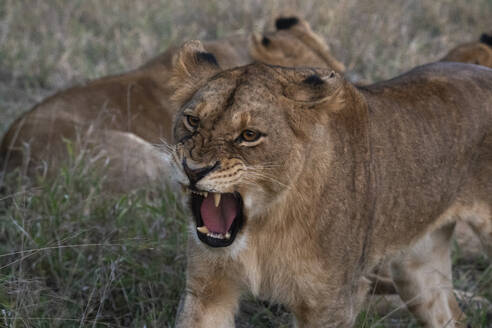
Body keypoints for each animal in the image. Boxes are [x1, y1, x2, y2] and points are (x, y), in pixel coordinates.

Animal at [167, 41, 490, 328]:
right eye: (192, 120)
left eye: (249, 135)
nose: (194, 170)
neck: (263, 227)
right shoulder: (207, 289)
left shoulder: (329, 304)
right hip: (417, 268)